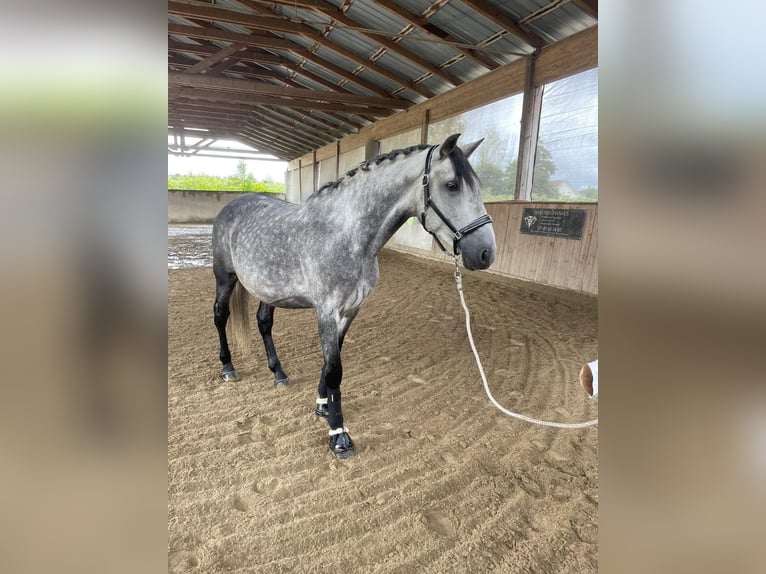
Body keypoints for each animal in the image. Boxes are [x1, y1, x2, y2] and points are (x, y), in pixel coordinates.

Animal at [212, 133, 496, 458]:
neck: (346, 235)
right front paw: (339, 435)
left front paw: (324, 407)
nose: (486, 253)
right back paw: (228, 368)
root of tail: (233, 205)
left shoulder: (351, 310)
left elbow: (331, 361)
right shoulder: (326, 311)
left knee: (263, 322)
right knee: (220, 315)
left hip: (269, 289)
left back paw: (279, 373)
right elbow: (335, 369)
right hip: (225, 278)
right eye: (452, 185)